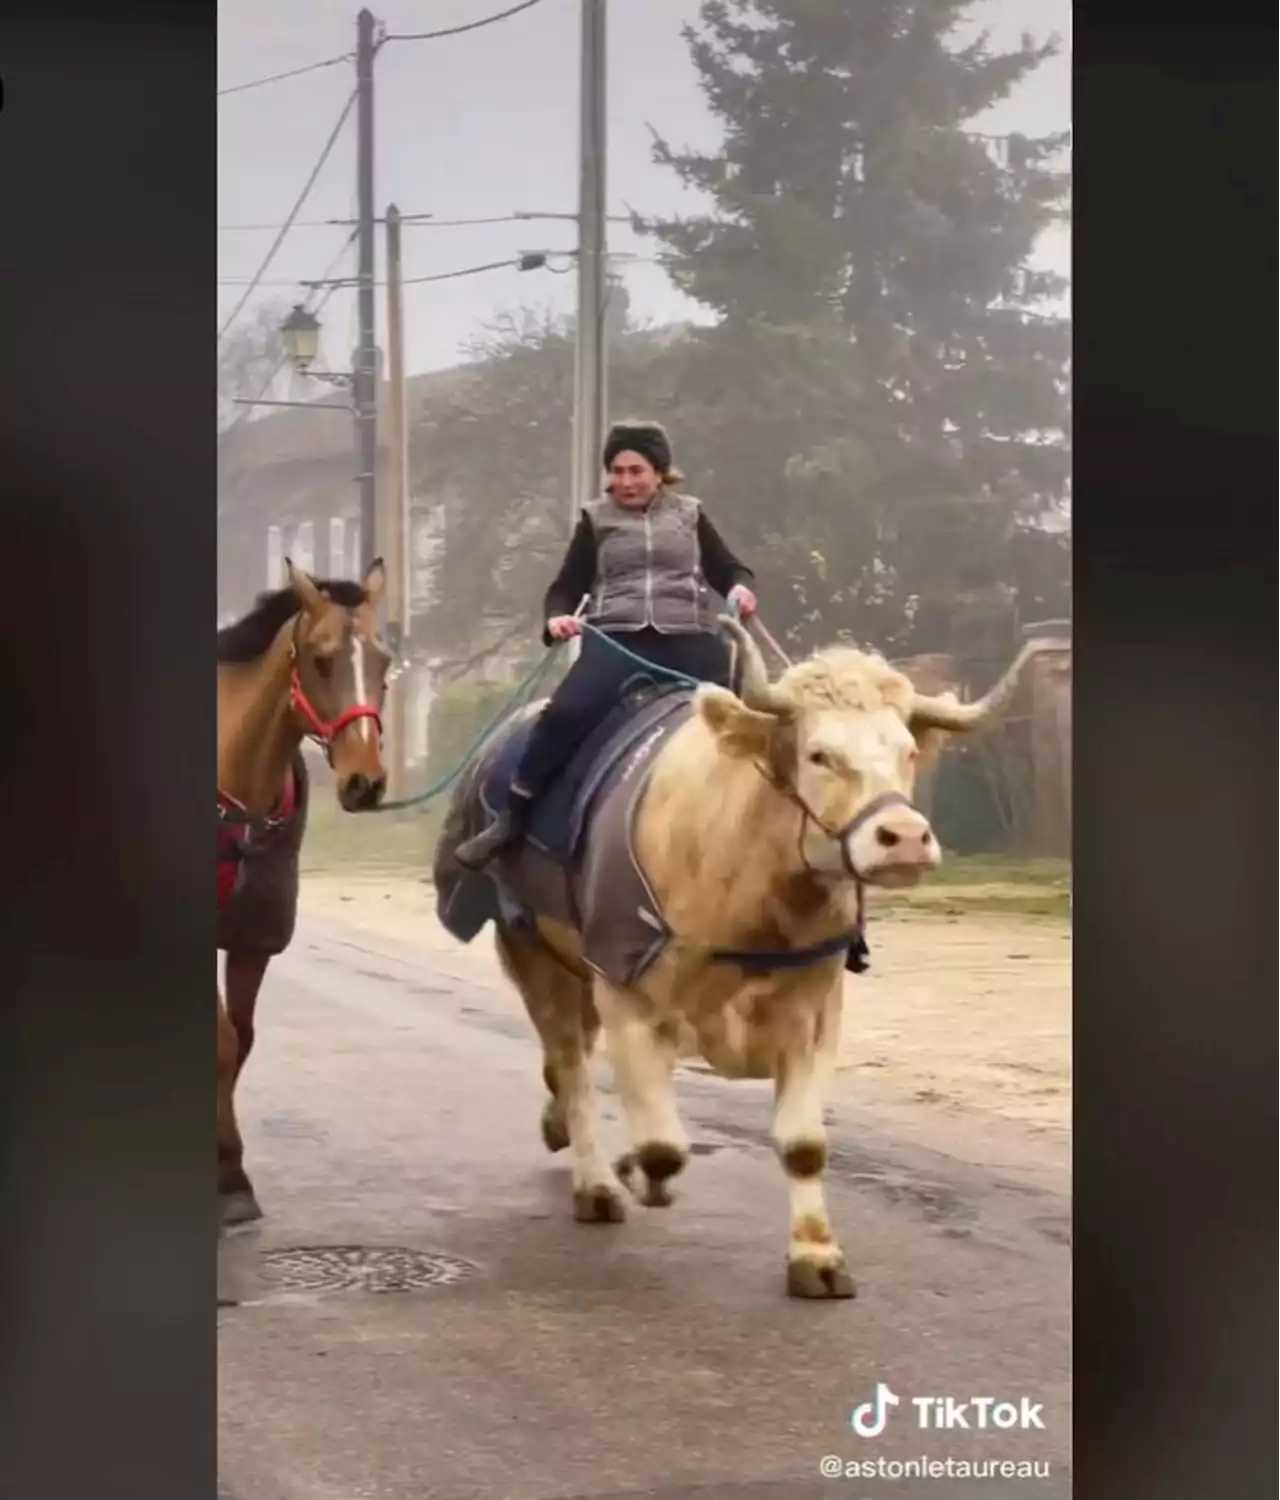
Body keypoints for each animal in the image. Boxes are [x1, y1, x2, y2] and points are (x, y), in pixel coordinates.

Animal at [214, 558, 390, 1224]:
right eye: (321, 659)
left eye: (385, 660)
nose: (365, 782)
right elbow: (221, 1039)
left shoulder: (253, 933)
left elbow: (240, 1040)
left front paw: (230, 1172)